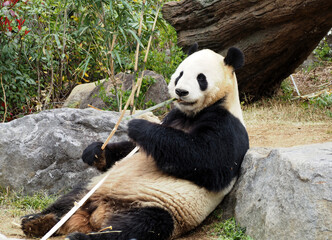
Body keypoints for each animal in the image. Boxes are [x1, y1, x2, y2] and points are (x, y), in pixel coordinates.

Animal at [20, 45, 249, 240]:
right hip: (94, 188)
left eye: (201, 78)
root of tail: (96, 215)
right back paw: (37, 221)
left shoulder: (228, 126)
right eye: (180, 74)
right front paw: (95, 152)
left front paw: (138, 125)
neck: (191, 115)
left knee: (135, 227)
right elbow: (131, 150)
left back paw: (79, 237)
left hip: (162, 208)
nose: (181, 92)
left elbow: (208, 160)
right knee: (70, 199)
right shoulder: (173, 116)